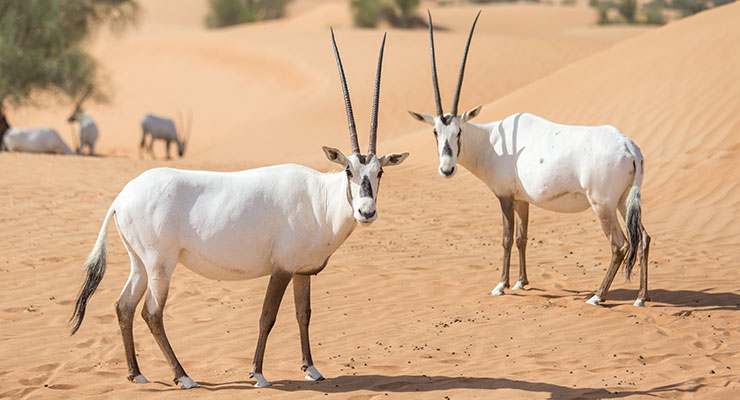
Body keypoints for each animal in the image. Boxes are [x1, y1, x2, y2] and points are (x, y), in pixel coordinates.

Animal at [71, 29, 408, 390]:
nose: (366, 212)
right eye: (348, 171)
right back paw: (183, 376)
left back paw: (137, 374)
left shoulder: (301, 271)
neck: (319, 197)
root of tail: (121, 197)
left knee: (124, 306)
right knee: (152, 312)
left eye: (379, 172)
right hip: (161, 263)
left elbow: (303, 315)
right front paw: (258, 374)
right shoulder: (281, 269)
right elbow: (267, 317)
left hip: (139, 263)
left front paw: (312, 369)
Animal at [408, 11, 652, 306]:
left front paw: (500, 285)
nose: (447, 169)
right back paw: (641, 298)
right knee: (644, 239)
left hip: (602, 204)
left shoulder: (504, 196)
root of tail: (630, 147)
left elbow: (506, 238)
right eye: (436, 131)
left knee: (619, 244)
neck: (492, 141)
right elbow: (522, 237)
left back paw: (597, 296)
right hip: (624, 200)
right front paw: (521, 282)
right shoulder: (521, 199)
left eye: (459, 131)